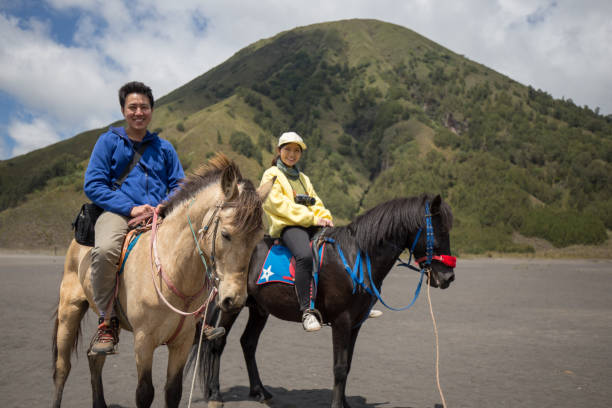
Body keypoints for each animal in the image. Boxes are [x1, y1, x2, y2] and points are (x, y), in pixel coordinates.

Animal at [52, 154, 272, 408]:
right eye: (226, 234)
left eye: (258, 238)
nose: (234, 299)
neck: (173, 269)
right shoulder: (143, 341)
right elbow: (145, 393)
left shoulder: (183, 342)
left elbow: (173, 391)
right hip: (69, 309)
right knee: (62, 368)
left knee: (94, 358)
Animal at [191, 193, 454, 406]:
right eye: (438, 231)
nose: (448, 277)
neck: (356, 256)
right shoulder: (341, 321)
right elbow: (339, 367)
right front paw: (337, 405)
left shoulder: (355, 324)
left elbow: (347, 365)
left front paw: (345, 403)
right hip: (231, 305)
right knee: (217, 343)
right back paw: (216, 395)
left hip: (259, 309)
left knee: (248, 343)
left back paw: (260, 391)